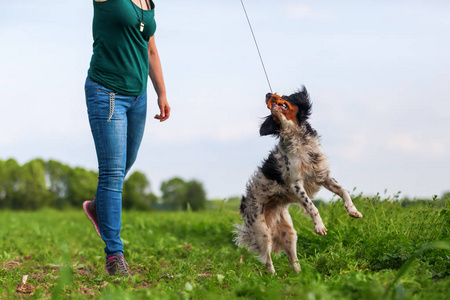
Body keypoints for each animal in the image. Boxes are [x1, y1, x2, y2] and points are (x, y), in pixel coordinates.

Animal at [236, 87, 362, 274]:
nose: (268, 94)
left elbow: (344, 191)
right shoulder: (296, 184)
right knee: (268, 261)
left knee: (293, 260)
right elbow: (311, 206)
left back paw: (300, 276)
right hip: (262, 231)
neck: (297, 137)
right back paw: (273, 277)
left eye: (285, 97)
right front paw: (319, 226)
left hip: (289, 233)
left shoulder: (323, 175)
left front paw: (353, 210)